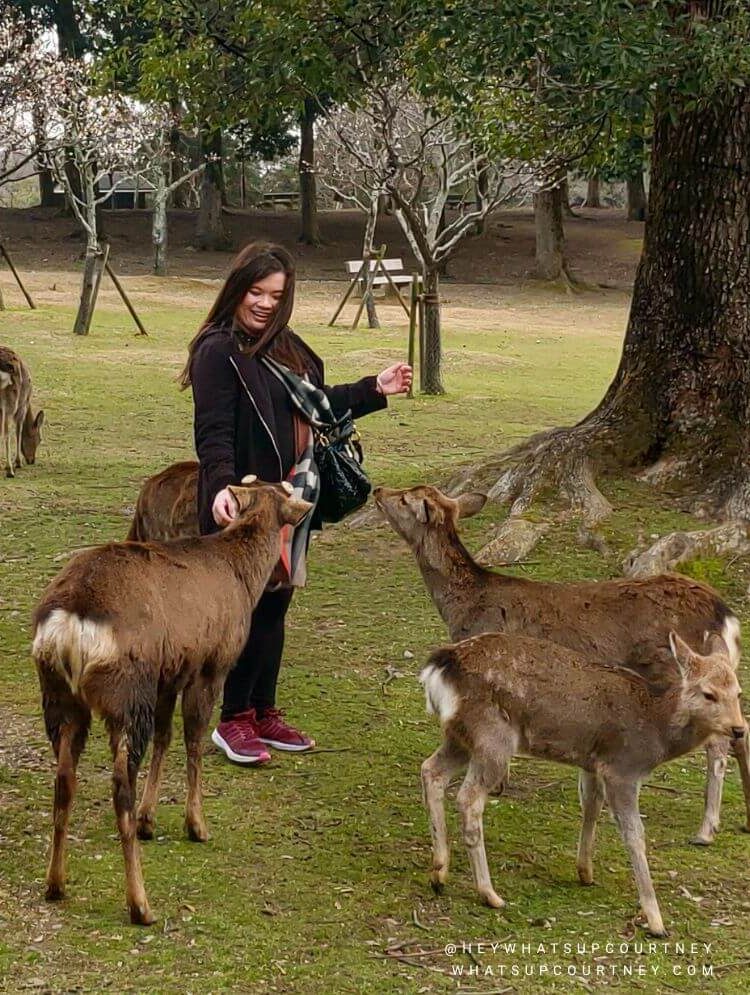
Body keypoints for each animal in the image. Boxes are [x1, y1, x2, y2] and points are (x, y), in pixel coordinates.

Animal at [0, 345, 44, 478]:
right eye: (39, 439)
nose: (31, 460)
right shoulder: (22, 405)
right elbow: (18, 430)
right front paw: (18, 463)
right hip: (11, 402)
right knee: (7, 433)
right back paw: (10, 470)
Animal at [32, 476, 311, 926]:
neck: (242, 581)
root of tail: (70, 621)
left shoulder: (168, 676)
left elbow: (165, 739)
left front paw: (150, 820)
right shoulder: (210, 666)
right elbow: (194, 741)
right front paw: (196, 825)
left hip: (61, 697)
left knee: (63, 780)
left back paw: (55, 885)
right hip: (126, 694)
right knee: (119, 786)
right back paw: (140, 904)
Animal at [373, 484, 750, 846]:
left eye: (406, 497)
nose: (378, 491)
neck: (464, 609)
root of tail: (725, 614)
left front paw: (499, 784)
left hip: (686, 672)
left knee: (719, 744)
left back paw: (705, 829)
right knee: (741, 730)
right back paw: (743, 819)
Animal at [420, 630, 745, 936]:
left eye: (739, 693)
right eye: (709, 694)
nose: (739, 729)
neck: (656, 731)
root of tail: (441, 665)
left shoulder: (592, 764)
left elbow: (591, 806)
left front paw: (585, 872)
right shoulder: (623, 768)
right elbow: (634, 834)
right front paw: (656, 921)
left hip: (461, 735)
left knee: (431, 771)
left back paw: (439, 873)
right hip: (492, 739)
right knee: (468, 798)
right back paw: (489, 894)